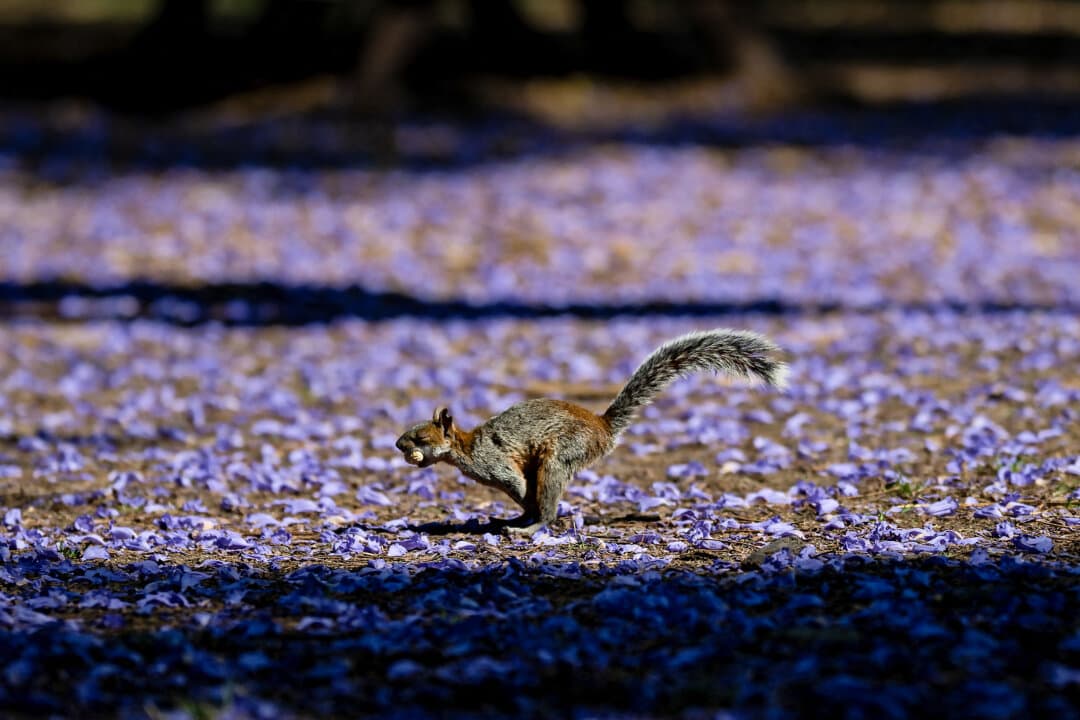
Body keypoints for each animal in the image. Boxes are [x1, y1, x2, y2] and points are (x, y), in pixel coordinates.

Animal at [396, 329, 788, 535]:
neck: (465, 448)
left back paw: (531, 525)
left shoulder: (497, 464)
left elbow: (519, 486)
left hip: (560, 456)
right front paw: (520, 512)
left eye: (421, 437)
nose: (398, 445)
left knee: (546, 499)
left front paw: (529, 512)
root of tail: (603, 426)